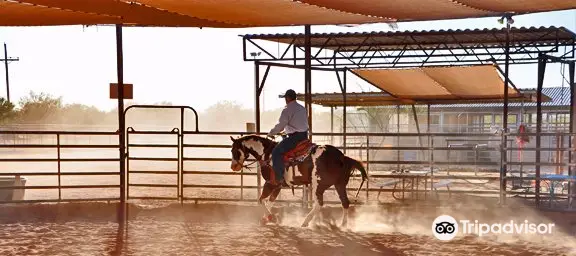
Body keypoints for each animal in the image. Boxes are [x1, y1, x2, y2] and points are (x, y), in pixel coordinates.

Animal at [228, 135, 366, 227]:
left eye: (233, 150)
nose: (233, 166)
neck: (267, 154)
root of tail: (342, 156)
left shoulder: (270, 183)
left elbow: (261, 200)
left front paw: (271, 218)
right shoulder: (277, 186)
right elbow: (270, 201)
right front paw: (265, 219)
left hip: (318, 185)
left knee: (319, 203)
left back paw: (306, 222)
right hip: (339, 184)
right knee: (345, 202)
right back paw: (343, 225)